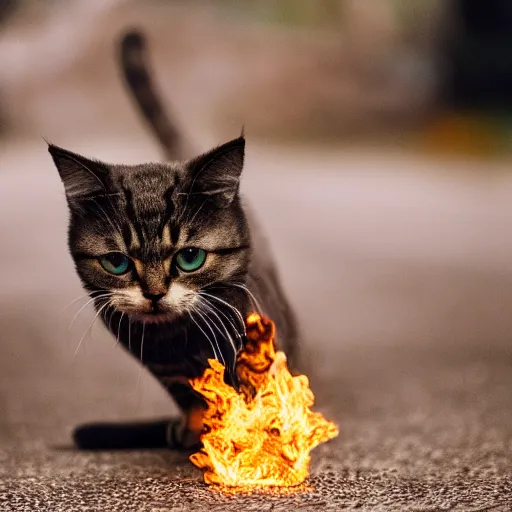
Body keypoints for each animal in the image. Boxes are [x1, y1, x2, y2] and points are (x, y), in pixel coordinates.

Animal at [49, 30, 300, 450]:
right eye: (117, 262)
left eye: (190, 258)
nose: (153, 294)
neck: (179, 340)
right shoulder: (165, 368)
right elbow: (188, 393)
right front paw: (195, 426)